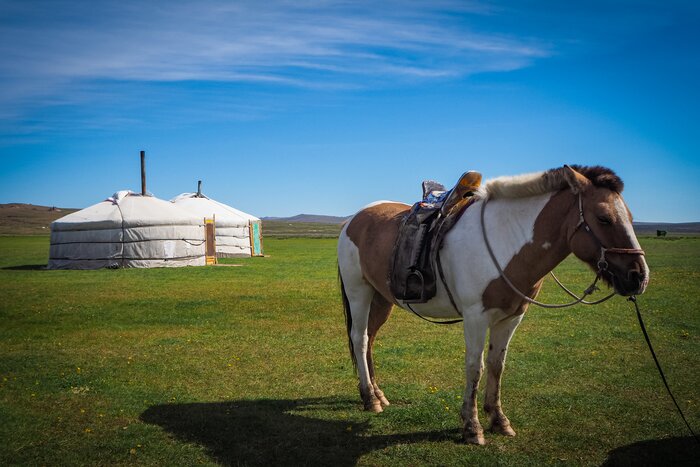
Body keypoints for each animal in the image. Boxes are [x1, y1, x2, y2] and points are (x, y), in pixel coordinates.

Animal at [337, 165, 649, 445]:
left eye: (630, 217)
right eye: (604, 218)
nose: (639, 276)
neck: (505, 240)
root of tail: (353, 220)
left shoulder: (511, 318)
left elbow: (498, 365)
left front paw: (498, 420)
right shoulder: (476, 317)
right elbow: (475, 367)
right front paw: (472, 427)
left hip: (381, 297)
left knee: (370, 338)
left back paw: (378, 393)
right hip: (359, 292)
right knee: (360, 338)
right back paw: (369, 398)